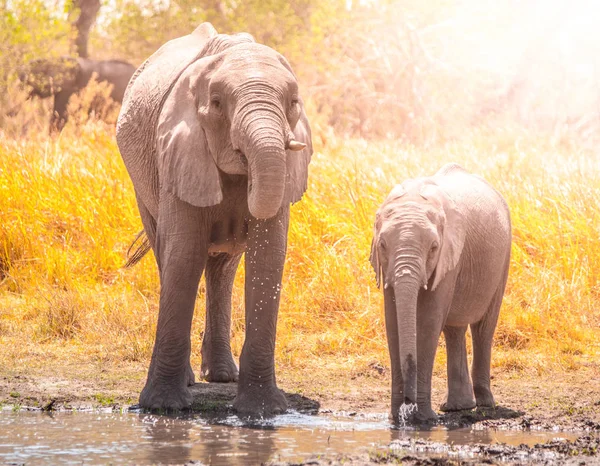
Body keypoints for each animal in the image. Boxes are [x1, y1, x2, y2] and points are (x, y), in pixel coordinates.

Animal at [116, 21, 314, 416]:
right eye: (219, 103)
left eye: (293, 103)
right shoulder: (177, 150)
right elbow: (185, 254)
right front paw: (162, 408)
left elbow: (267, 256)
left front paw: (262, 411)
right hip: (142, 182)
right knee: (168, 254)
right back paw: (195, 379)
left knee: (223, 268)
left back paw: (223, 376)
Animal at [370, 163, 510, 422]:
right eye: (382, 245)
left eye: (434, 247)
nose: (408, 403)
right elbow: (392, 319)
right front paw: (396, 418)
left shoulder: (450, 256)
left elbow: (429, 320)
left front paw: (423, 419)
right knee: (454, 330)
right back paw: (457, 407)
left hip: (503, 259)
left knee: (483, 328)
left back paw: (485, 405)